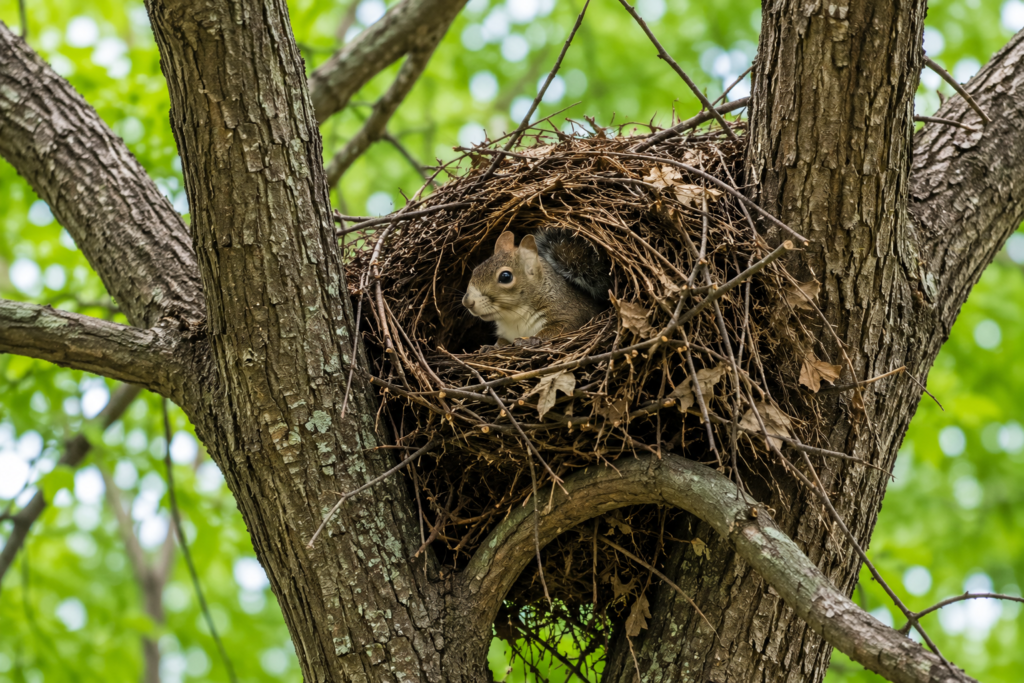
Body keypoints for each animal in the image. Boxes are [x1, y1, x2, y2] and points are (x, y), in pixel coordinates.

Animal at [462, 228, 612, 346]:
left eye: (505, 276)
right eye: (475, 270)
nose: (468, 302)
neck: (514, 317)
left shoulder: (570, 314)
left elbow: (563, 328)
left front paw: (531, 339)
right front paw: (493, 346)